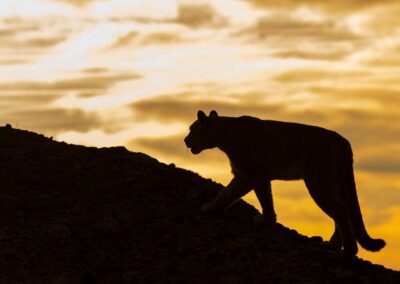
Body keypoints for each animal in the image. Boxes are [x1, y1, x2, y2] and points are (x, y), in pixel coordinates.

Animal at [184, 110, 384, 256]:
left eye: (191, 130)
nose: (185, 140)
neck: (224, 133)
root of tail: (342, 141)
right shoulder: (243, 177)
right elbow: (226, 194)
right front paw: (209, 208)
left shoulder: (255, 174)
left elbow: (264, 198)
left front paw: (266, 220)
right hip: (330, 182)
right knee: (342, 210)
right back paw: (332, 245)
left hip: (318, 180)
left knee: (340, 211)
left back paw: (348, 250)